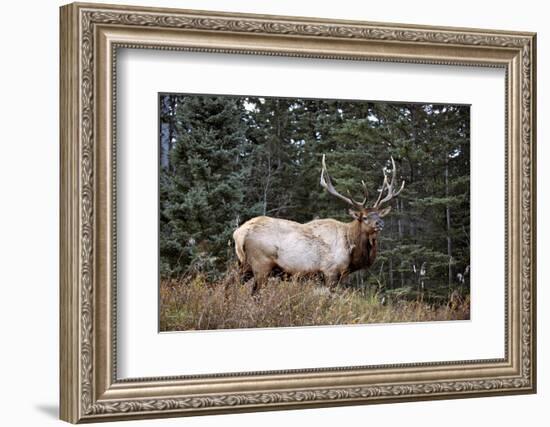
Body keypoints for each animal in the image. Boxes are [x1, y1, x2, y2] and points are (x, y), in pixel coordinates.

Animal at [233, 156, 406, 294]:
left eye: (378, 214)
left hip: (244, 265)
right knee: (255, 293)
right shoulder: (330, 271)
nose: (380, 222)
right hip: (261, 264)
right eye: (364, 217)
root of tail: (239, 233)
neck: (351, 250)